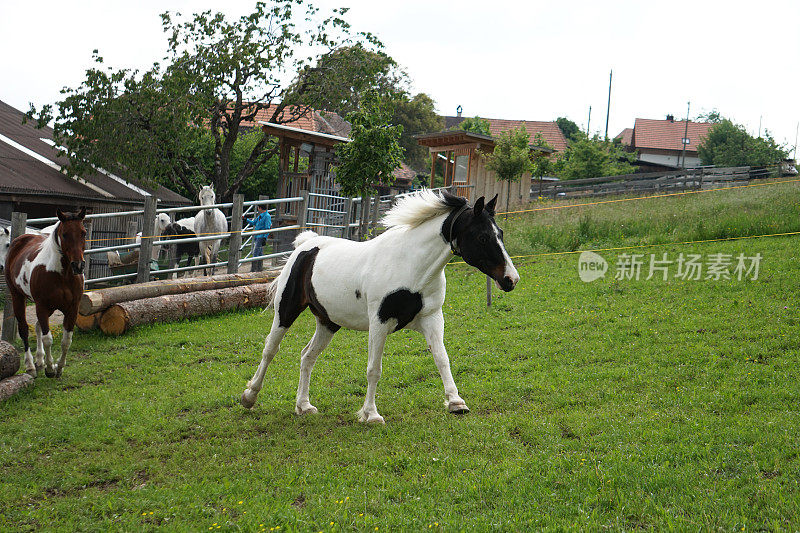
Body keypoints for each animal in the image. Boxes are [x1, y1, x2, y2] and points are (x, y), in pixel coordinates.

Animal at [3, 208, 86, 378]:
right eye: (65, 234)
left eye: (84, 233)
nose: (78, 265)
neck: (62, 274)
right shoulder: (41, 306)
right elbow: (48, 338)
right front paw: (50, 368)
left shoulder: (72, 308)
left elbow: (66, 340)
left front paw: (59, 367)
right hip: (18, 298)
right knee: (24, 329)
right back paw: (31, 366)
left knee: (37, 326)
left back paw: (39, 361)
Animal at [241, 190, 520, 424]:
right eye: (483, 236)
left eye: (500, 233)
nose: (511, 279)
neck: (412, 266)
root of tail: (306, 245)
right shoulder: (379, 322)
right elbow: (374, 369)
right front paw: (371, 414)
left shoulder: (432, 318)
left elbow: (442, 359)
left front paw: (456, 402)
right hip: (285, 311)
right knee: (270, 349)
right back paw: (249, 397)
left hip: (328, 322)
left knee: (307, 355)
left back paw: (304, 406)